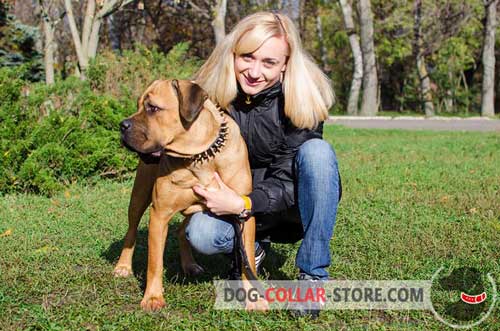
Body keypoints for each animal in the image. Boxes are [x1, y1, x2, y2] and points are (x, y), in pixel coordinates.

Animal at [114, 80, 268, 312]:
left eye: (153, 108)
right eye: (139, 105)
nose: (122, 125)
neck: (198, 155)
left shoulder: (244, 214)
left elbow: (246, 256)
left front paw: (254, 298)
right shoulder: (160, 214)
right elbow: (154, 262)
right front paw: (152, 297)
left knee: (182, 230)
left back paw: (189, 264)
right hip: (139, 196)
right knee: (132, 230)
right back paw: (123, 265)